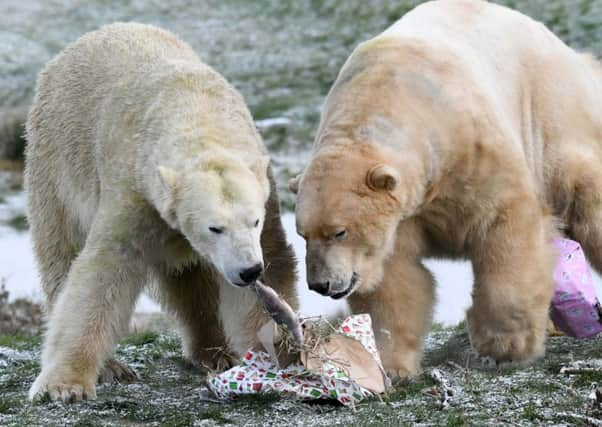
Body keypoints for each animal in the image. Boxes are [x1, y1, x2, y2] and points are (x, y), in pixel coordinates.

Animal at [25, 22, 298, 404]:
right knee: (61, 253)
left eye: (253, 221)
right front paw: (65, 385)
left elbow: (272, 267)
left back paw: (216, 352)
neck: (198, 114)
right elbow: (104, 270)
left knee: (190, 278)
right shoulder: (136, 192)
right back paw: (114, 366)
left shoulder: (266, 195)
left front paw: (278, 357)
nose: (247, 271)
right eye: (215, 228)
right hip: (57, 164)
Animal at [294, 0, 600, 380]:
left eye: (338, 231)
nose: (319, 284)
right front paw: (391, 365)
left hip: (550, 116)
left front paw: (503, 348)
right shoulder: (403, 215)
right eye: (302, 234)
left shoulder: (472, 154)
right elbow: (395, 279)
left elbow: (506, 229)